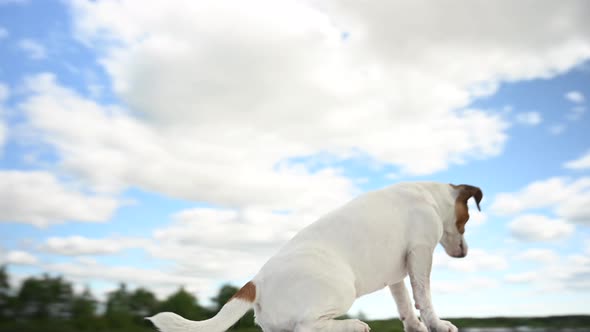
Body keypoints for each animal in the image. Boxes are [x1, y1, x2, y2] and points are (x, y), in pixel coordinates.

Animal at [147, 182, 480, 332]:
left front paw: (415, 327)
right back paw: (353, 325)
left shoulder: (396, 274)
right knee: (306, 327)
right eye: (465, 221)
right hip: (342, 288)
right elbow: (423, 297)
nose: (464, 253)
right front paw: (438, 325)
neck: (432, 197)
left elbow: (405, 306)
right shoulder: (421, 255)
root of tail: (255, 282)